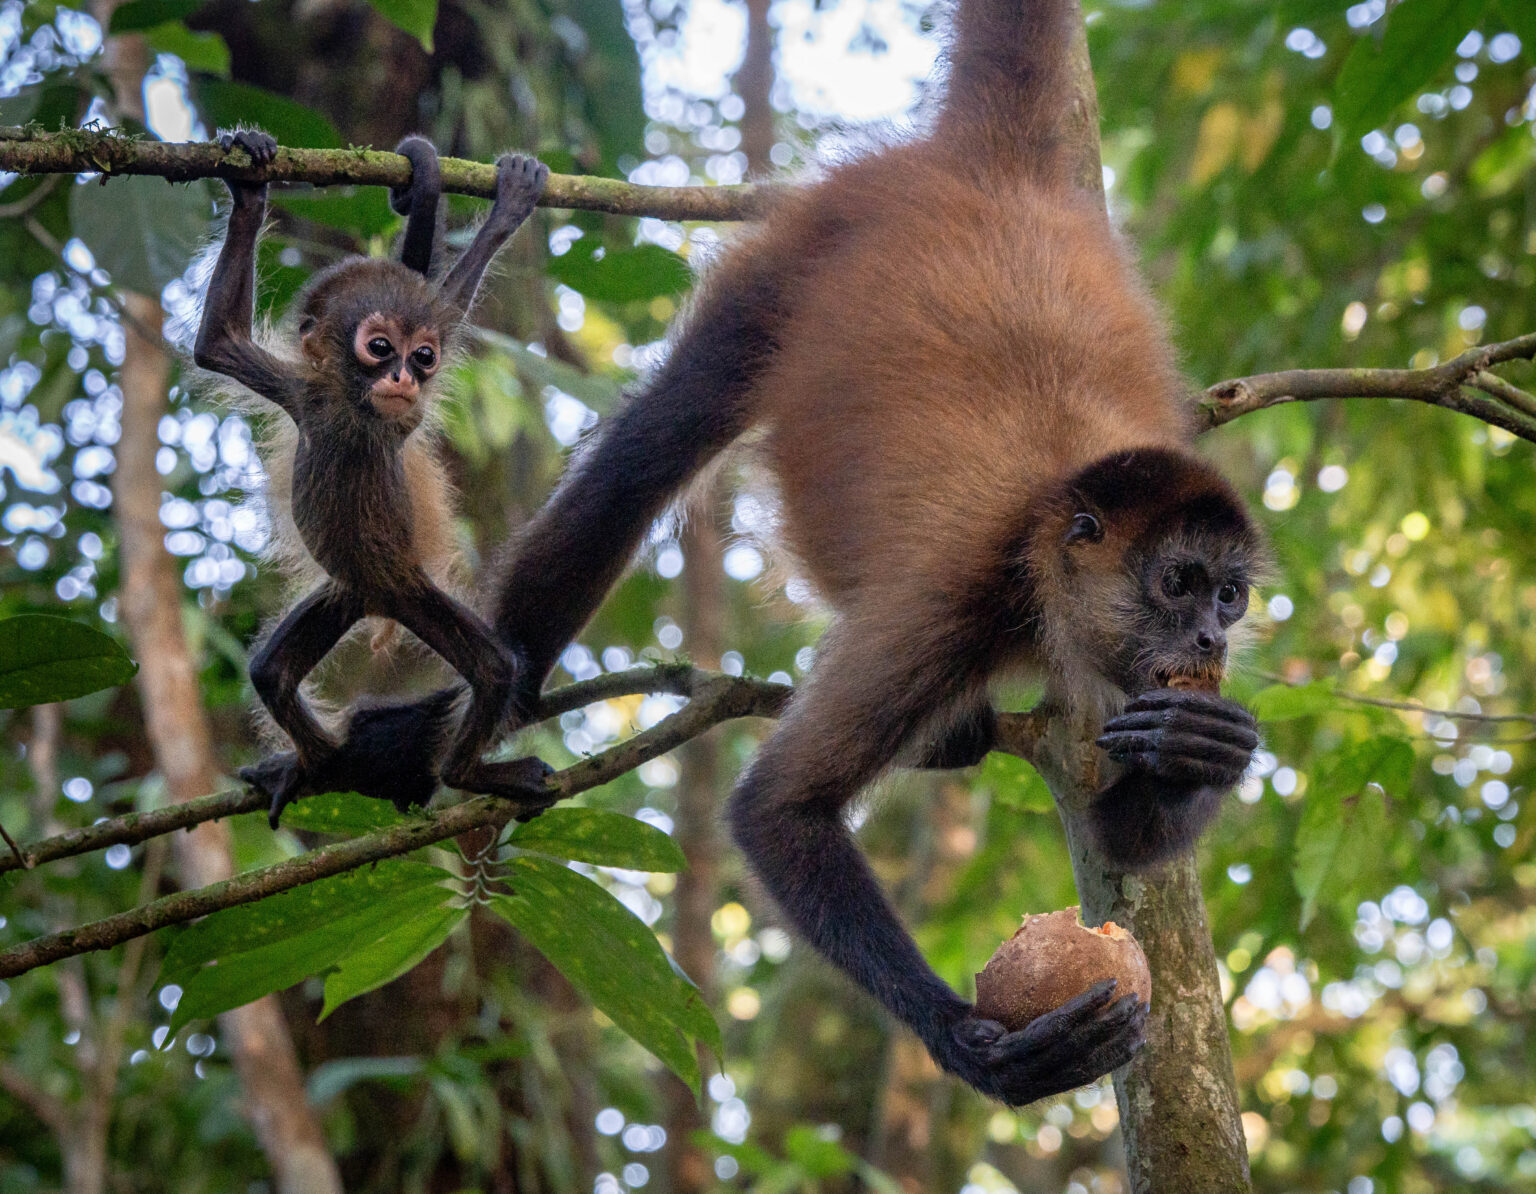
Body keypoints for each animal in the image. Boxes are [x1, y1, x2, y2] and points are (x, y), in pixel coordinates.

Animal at [194, 129, 555, 828]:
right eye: (380, 348)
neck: (356, 416)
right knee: (271, 674)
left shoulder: (400, 421)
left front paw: (508, 210)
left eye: (426, 356)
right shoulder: (305, 394)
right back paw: (318, 767)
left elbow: (455, 305)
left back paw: (462, 774)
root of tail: (379, 600)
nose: (405, 379)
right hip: (345, 593)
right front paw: (250, 186)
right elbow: (216, 345)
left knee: (496, 669)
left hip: (409, 590)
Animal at [243, 0, 1265, 1106]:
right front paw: (972, 1043)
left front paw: (1206, 749)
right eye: (1177, 585)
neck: (1048, 525)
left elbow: (1113, 844)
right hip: (796, 258)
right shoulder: (953, 596)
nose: (1210, 638)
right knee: (647, 455)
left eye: (1230, 597)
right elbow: (778, 812)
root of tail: (992, 167)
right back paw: (453, 727)